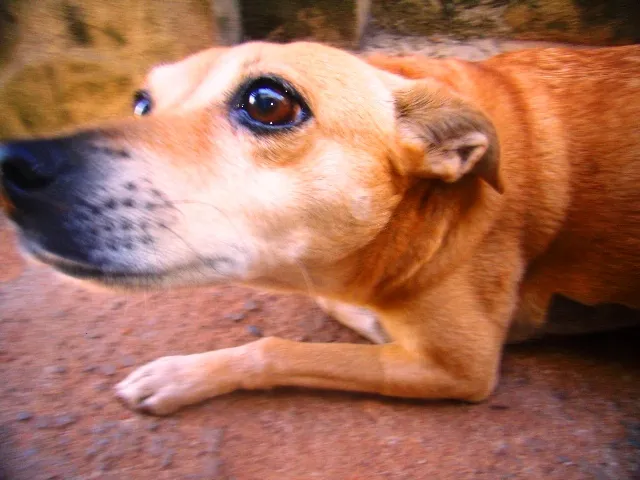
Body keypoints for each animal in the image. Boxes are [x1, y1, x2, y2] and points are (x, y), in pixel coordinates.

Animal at [0, 41, 636, 414]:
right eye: (140, 104)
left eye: (268, 102)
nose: (14, 165)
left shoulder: (461, 366)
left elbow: (276, 348)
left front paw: (179, 375)